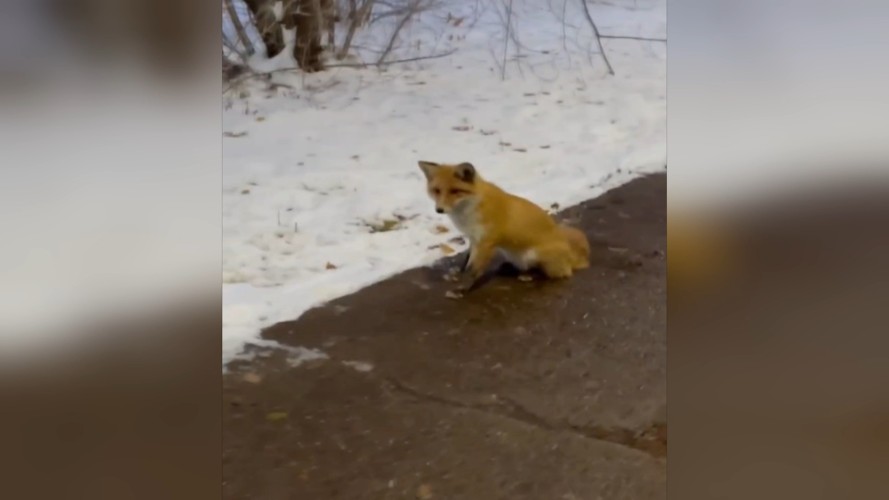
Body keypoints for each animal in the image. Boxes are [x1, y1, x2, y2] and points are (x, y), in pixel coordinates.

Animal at [418, 160, 588, 294]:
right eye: (437, 190)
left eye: (455, 191)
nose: (439, 210)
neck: (469, 211)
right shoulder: (473, 238)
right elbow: (466, 263)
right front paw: (458, 276)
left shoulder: (486, 242)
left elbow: (473, 270)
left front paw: (461, 289)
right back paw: (509, 268)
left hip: (536, 255)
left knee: (562, 273)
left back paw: (528, 275)